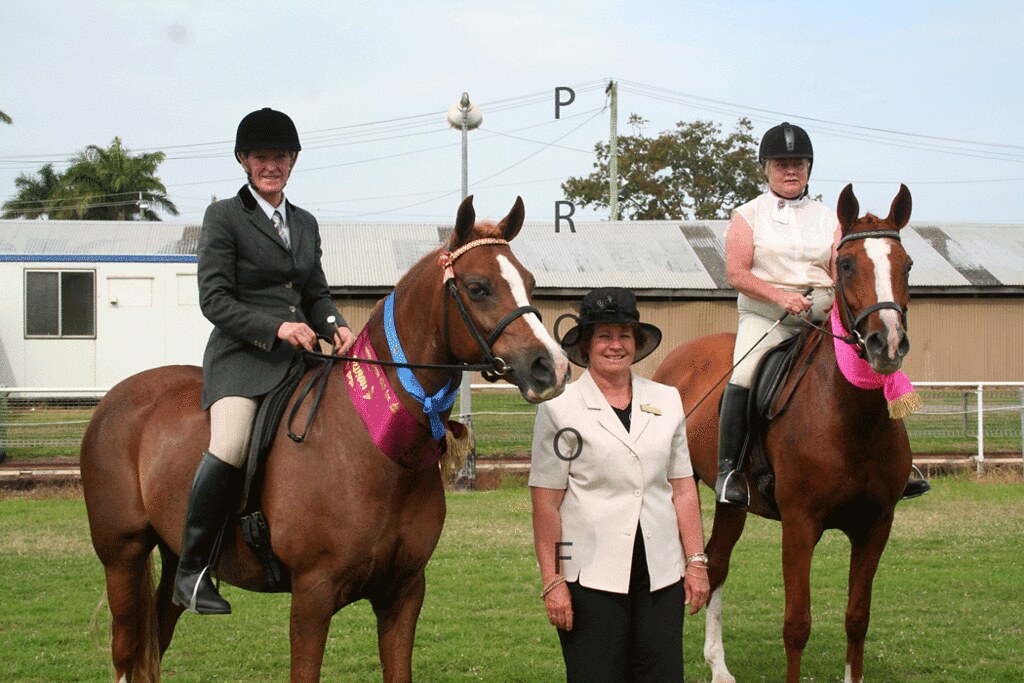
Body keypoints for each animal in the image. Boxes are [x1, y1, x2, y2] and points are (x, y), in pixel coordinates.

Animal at [81, 195, 570, 683]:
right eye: (477, 287)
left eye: (529, 283)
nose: (552, 366)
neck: (376, 450)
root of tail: (113, 400)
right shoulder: (312, 596)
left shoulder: (404, 593)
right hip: (122, 557)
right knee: (126, 653)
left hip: (171, 554)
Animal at [653, 184, 916, 683]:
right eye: (846, 264)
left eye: (906, 264)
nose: (886, 344)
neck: (852, 420)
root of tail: (679, 357)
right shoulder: (799, 524)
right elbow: (797, 624)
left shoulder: (877, 525)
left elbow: (857, 618)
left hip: (730, 501)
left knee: (716, 564)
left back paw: (719, 667)